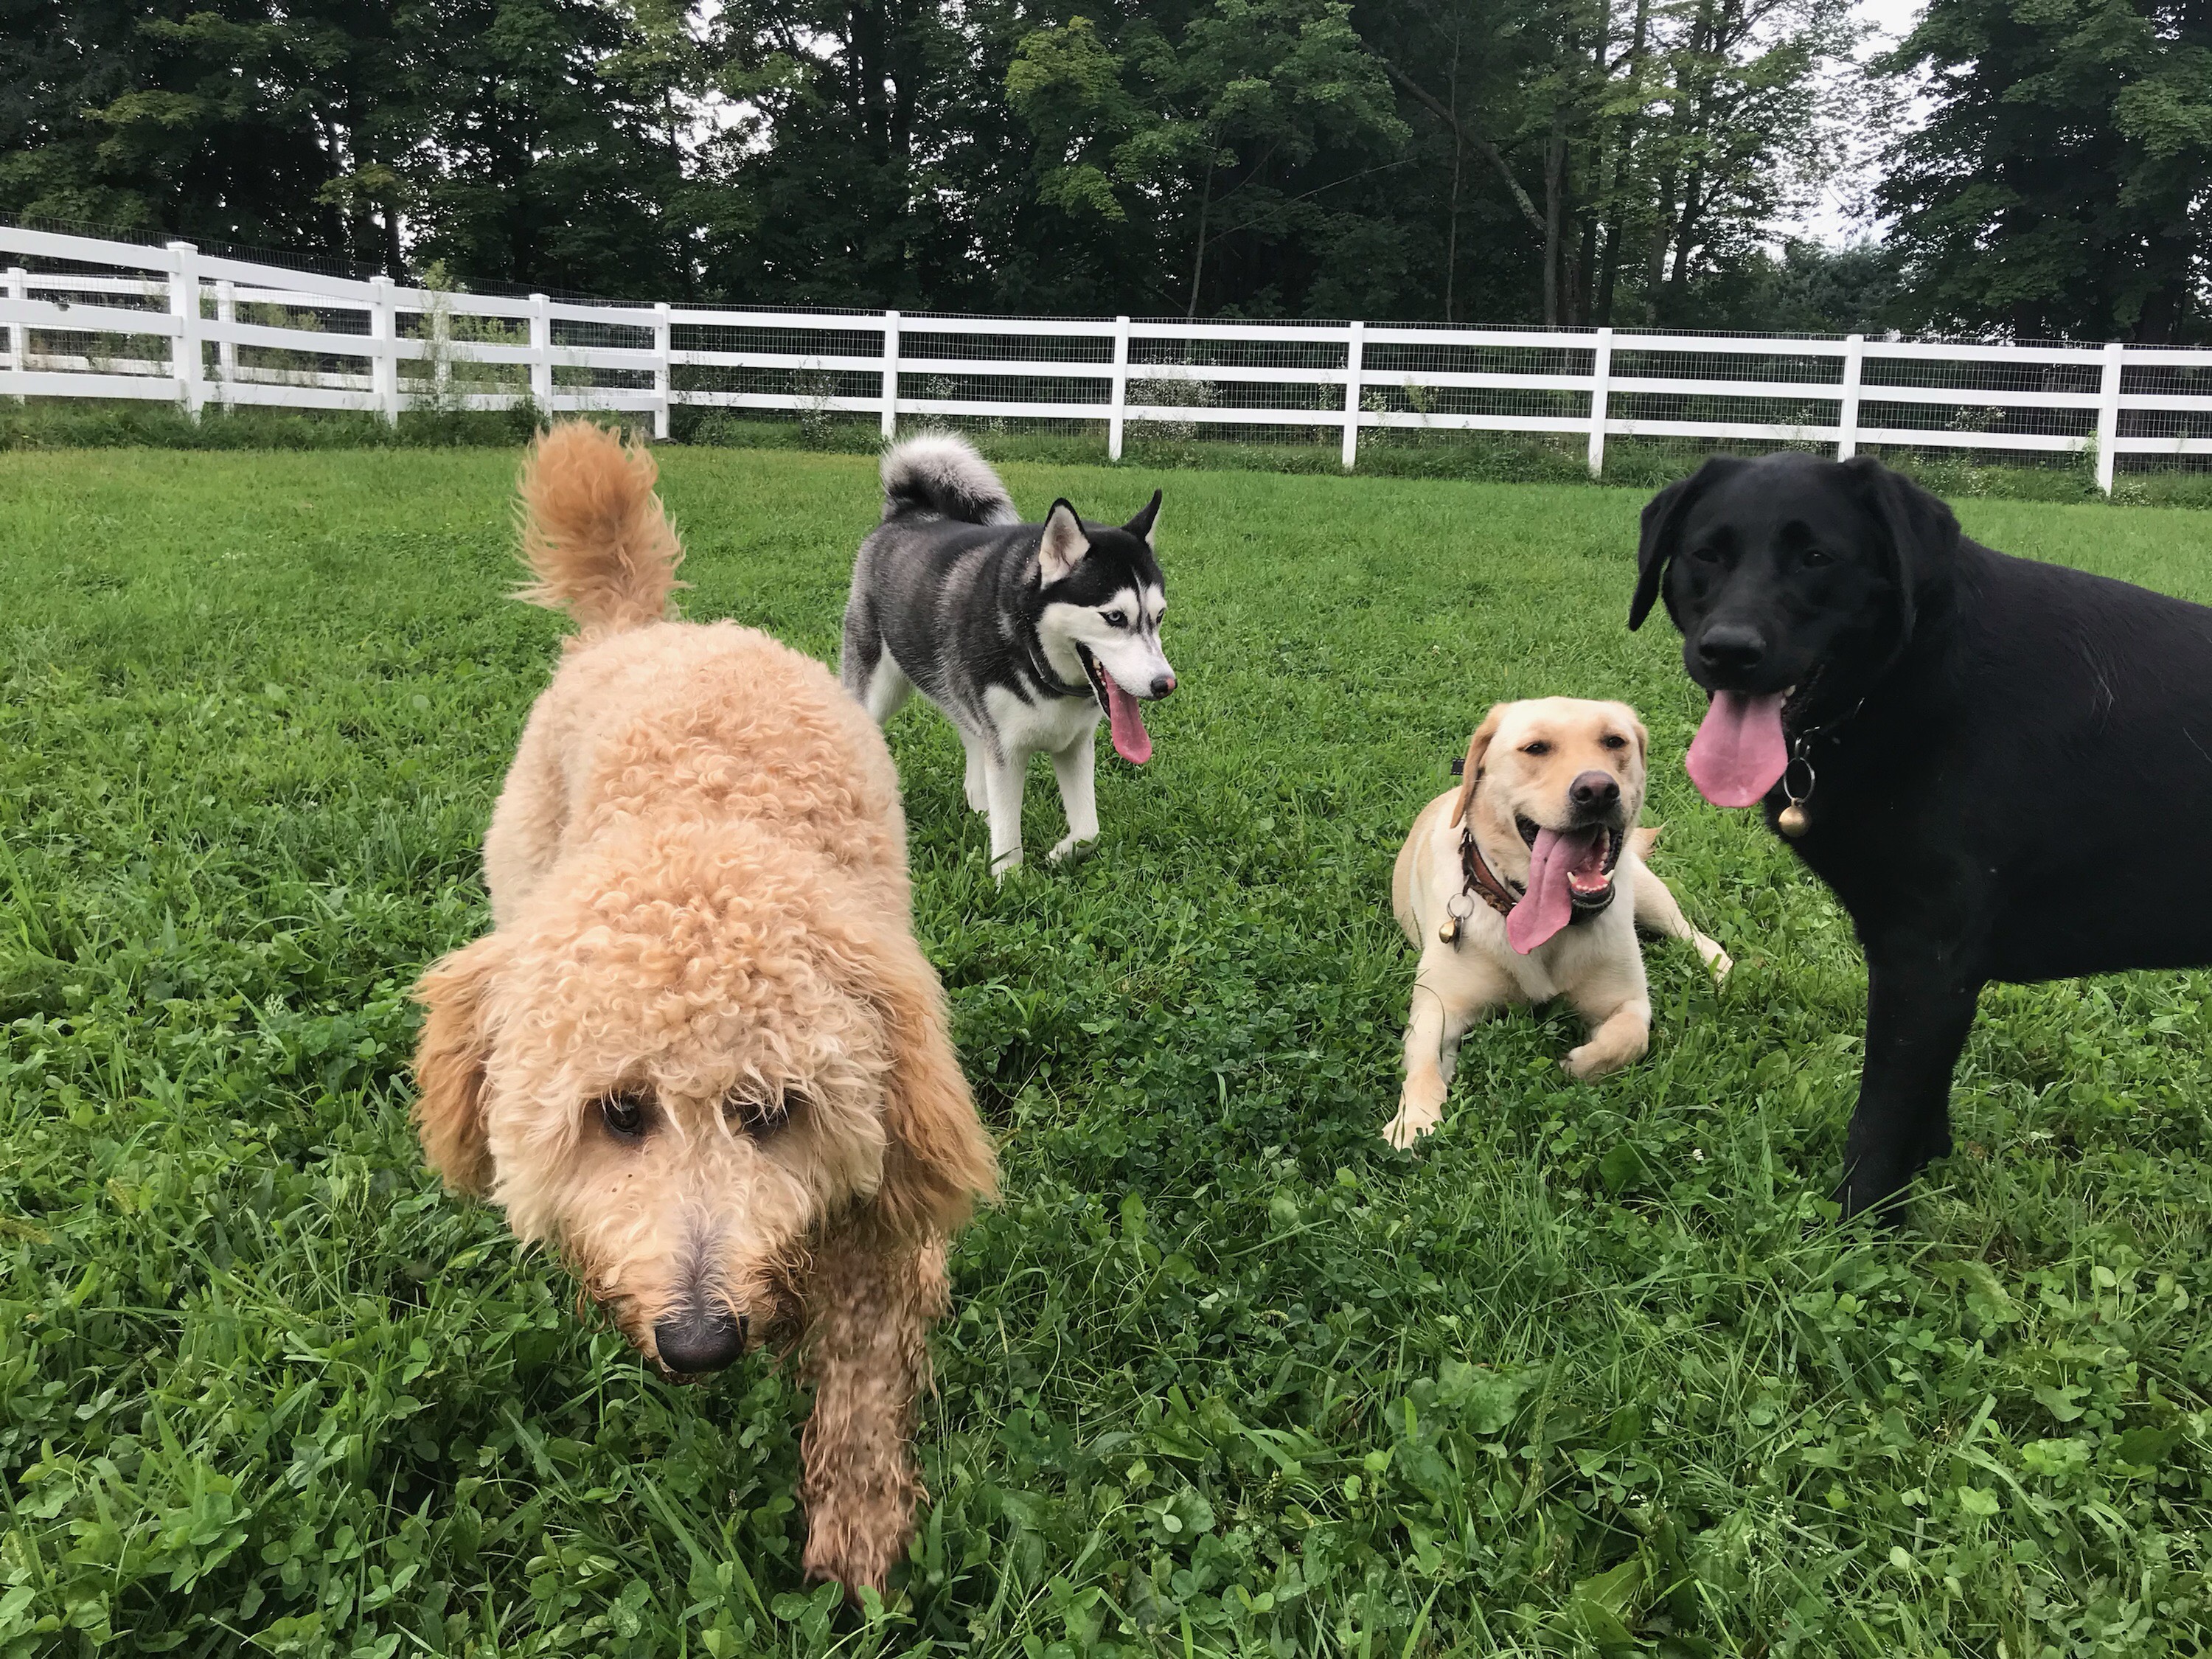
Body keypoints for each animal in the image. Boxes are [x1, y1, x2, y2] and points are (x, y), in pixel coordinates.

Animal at [411, 425, 1000, 1601]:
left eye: (773, 1112)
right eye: (618, 1112)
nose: (698, 1344)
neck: (709, 821)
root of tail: (655, 628)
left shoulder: (879, 1151)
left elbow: (866, 1360)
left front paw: (859, 1526)